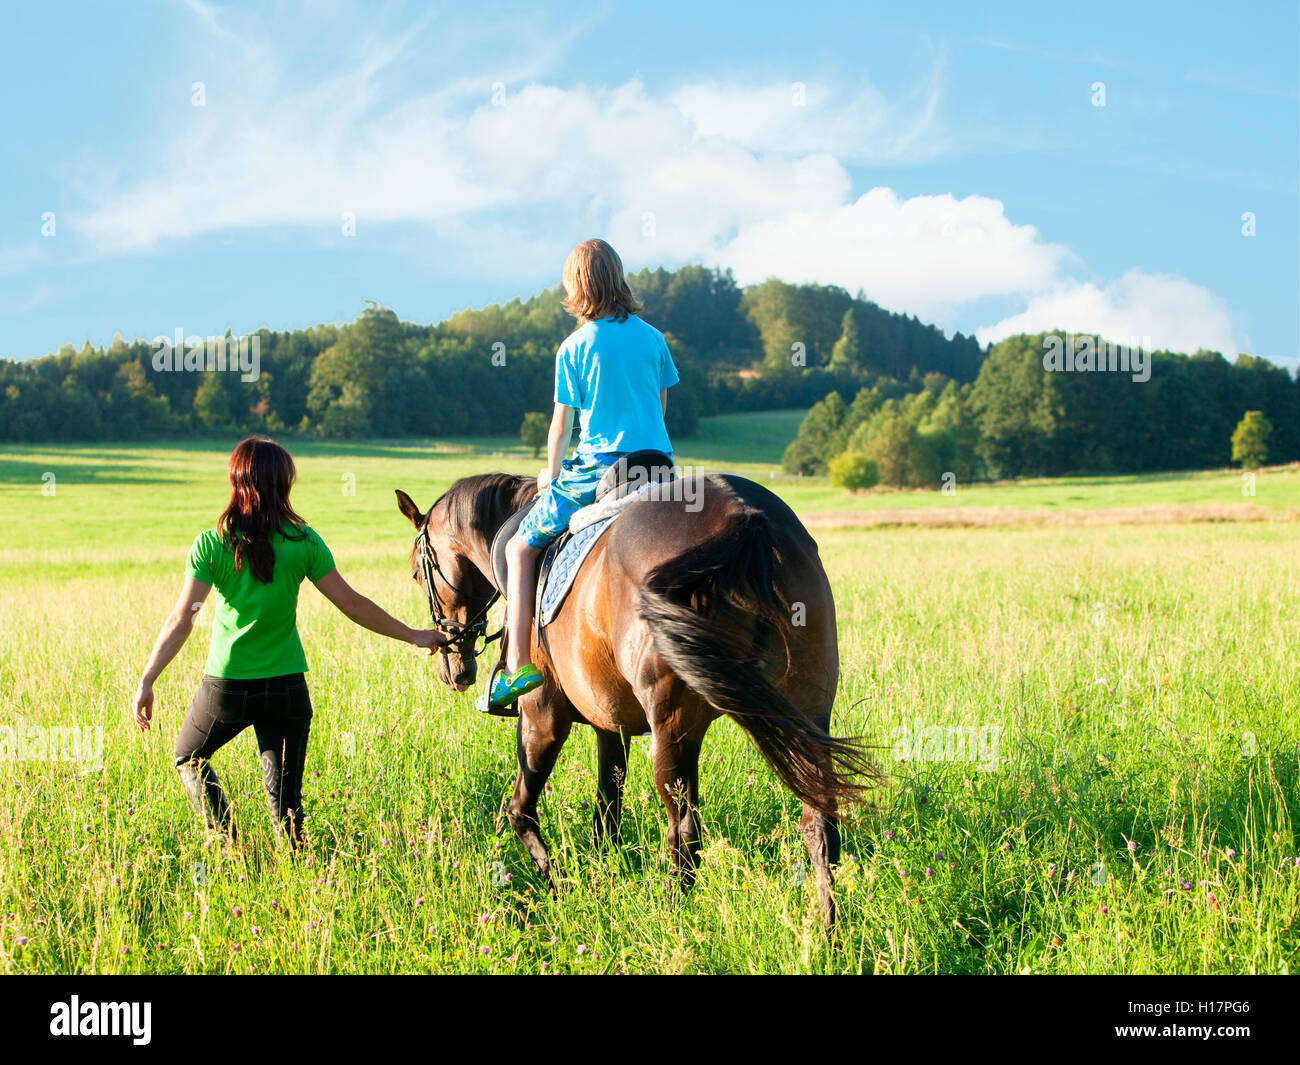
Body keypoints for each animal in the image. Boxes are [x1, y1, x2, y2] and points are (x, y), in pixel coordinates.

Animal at [392, 468, 873, 925]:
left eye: (417, 572)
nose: (454, 667)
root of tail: (743, 515)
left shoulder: (542, 718)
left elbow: (520, 811)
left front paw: (558, 887)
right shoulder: (612, 726)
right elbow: (607, 812)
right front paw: (603, 880)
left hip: (672, 729)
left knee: (684, 832)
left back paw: (677, 917)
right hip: (807, 713)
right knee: (819, 825)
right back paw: (827, 933)